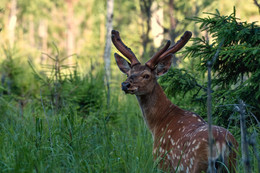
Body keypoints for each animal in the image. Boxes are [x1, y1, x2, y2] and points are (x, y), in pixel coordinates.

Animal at [110, 30, 239, 172]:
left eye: (146, 75)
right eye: (128, 74)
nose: (125, 84)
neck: (157, 123)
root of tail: (221, 142)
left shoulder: (162, 160)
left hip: (196, 165)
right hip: (233, 164)